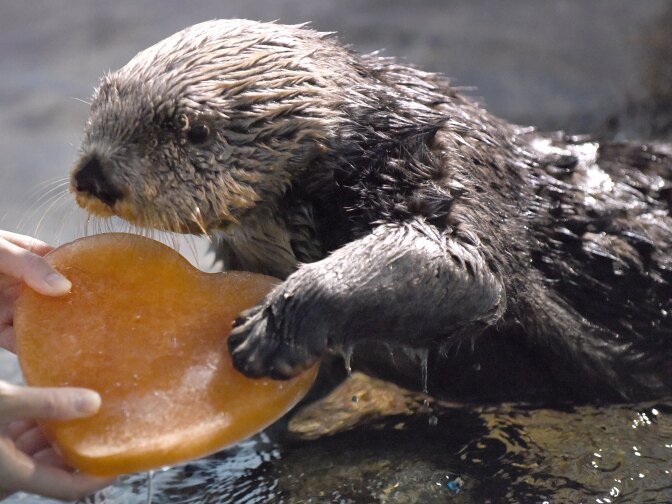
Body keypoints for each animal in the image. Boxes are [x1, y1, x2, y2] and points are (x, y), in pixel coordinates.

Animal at [70, 19, 671, 402]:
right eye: (97, 105)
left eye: (190, 129)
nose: (92, 175)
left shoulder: (441, 167)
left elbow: (465, 268)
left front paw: (269, 331)